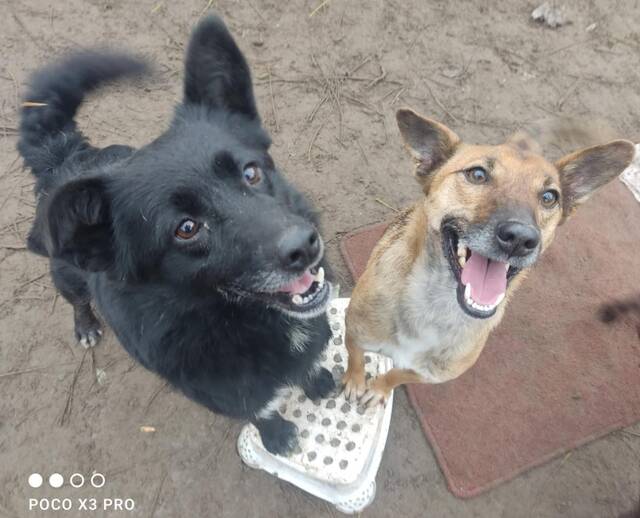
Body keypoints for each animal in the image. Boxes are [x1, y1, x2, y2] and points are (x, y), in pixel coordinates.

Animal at [18, 16, 336, 455]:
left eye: (251, 172)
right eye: (186, 228)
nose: (304, 247)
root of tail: (66, 157)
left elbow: (309, 368)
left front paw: (317, 380)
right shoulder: (228, 394)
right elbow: (261, 411)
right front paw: (277, 436)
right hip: (65, 276)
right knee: (76, 300)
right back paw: (86, 326)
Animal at [342, 108, 636, 406]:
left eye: (549, 197)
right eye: (477, 174)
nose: (520, 238)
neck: (436, 307)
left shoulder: (425, 374)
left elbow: (396, 376)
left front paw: (380, 388)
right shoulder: (354, 334)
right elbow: (356, 360)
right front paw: (355, 382)